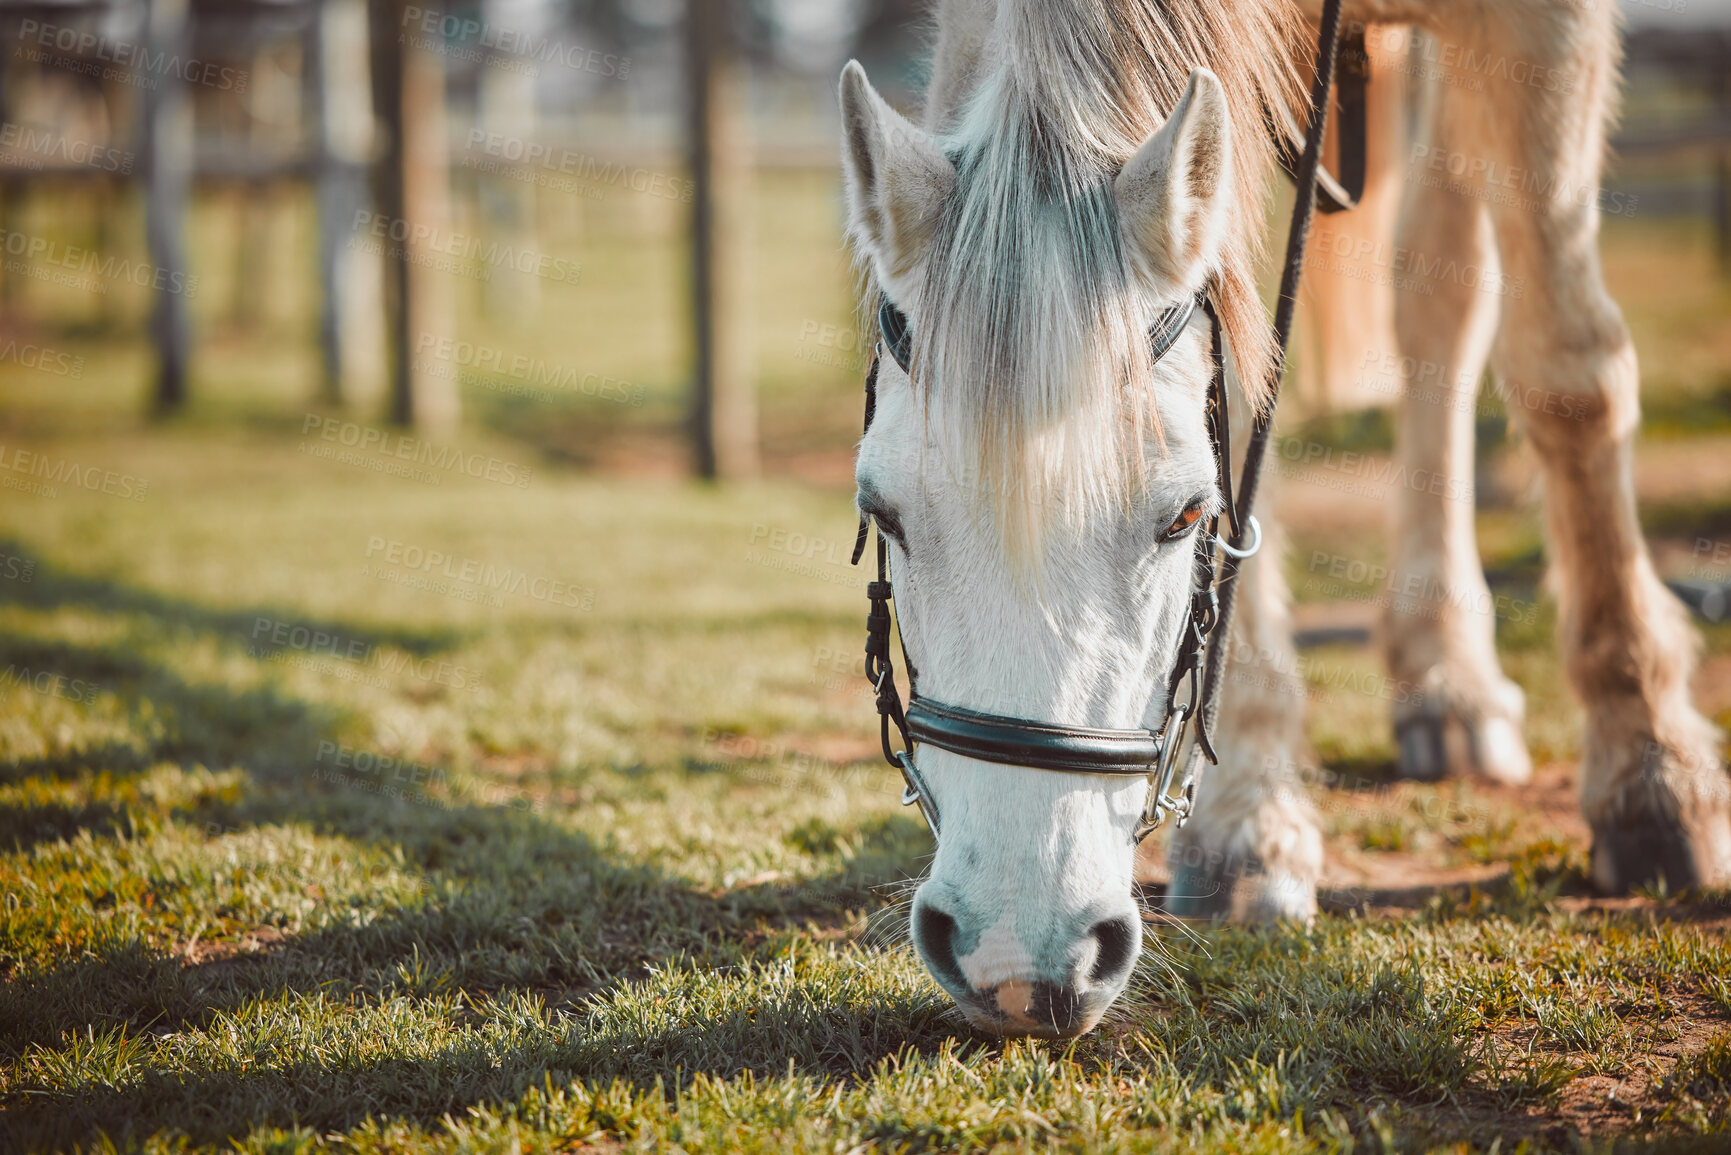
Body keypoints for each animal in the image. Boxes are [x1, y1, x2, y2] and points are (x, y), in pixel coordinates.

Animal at [834, 0, 1717, 1038]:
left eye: (1186, 515)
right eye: (880, 511)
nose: (1013, 956)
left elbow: (1568, 372)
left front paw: (1649, 764)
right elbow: (1250, 389)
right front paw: (1247, 818)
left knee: (1444, 290)